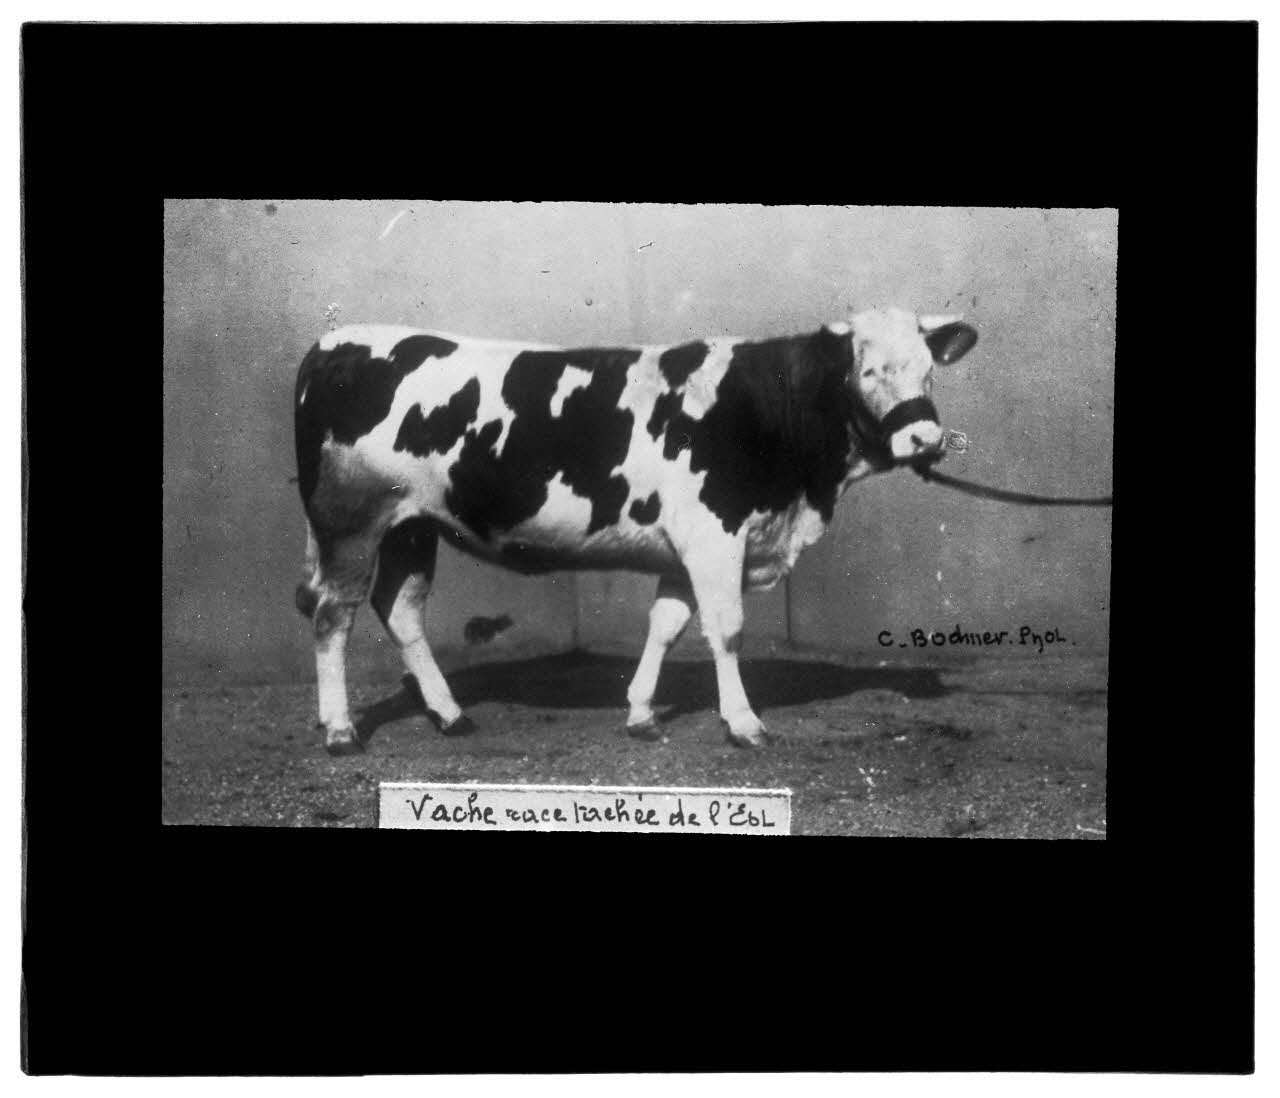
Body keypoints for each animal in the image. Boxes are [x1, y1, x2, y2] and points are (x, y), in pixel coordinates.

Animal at [293, 306, 978, 755]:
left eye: (928, 369)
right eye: (869, 371)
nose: (924, 438)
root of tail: (334, 341)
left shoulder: (682, 551)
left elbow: (667, 626)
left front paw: (643, 713)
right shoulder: (714, 535)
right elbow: (726, 630)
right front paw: (743, 722)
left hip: (411, 527)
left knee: (400, 609)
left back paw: (449, 714)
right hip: (350, 522)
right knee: (333, 615)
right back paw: (341, 730)